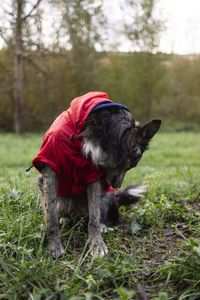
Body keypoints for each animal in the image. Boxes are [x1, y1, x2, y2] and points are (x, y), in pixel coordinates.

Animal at [32, 92, 162, 258]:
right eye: (130, 165)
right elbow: (51, 216)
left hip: (107, 197)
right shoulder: (50, 169)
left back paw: (103, 226)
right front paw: (54, 245)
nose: (115, 186)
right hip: (62, 201)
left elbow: (94, 217)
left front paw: (97, 244)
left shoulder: (93, 176)